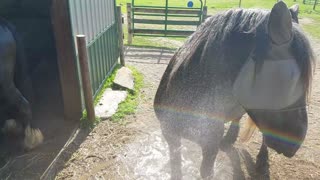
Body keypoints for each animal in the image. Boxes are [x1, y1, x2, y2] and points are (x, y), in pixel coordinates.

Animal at [154, 1, 316, 179]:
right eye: (292, 78)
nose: (295, 143)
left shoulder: (210, 147)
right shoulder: (170, 135)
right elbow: (175, 167)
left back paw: (261, 158)